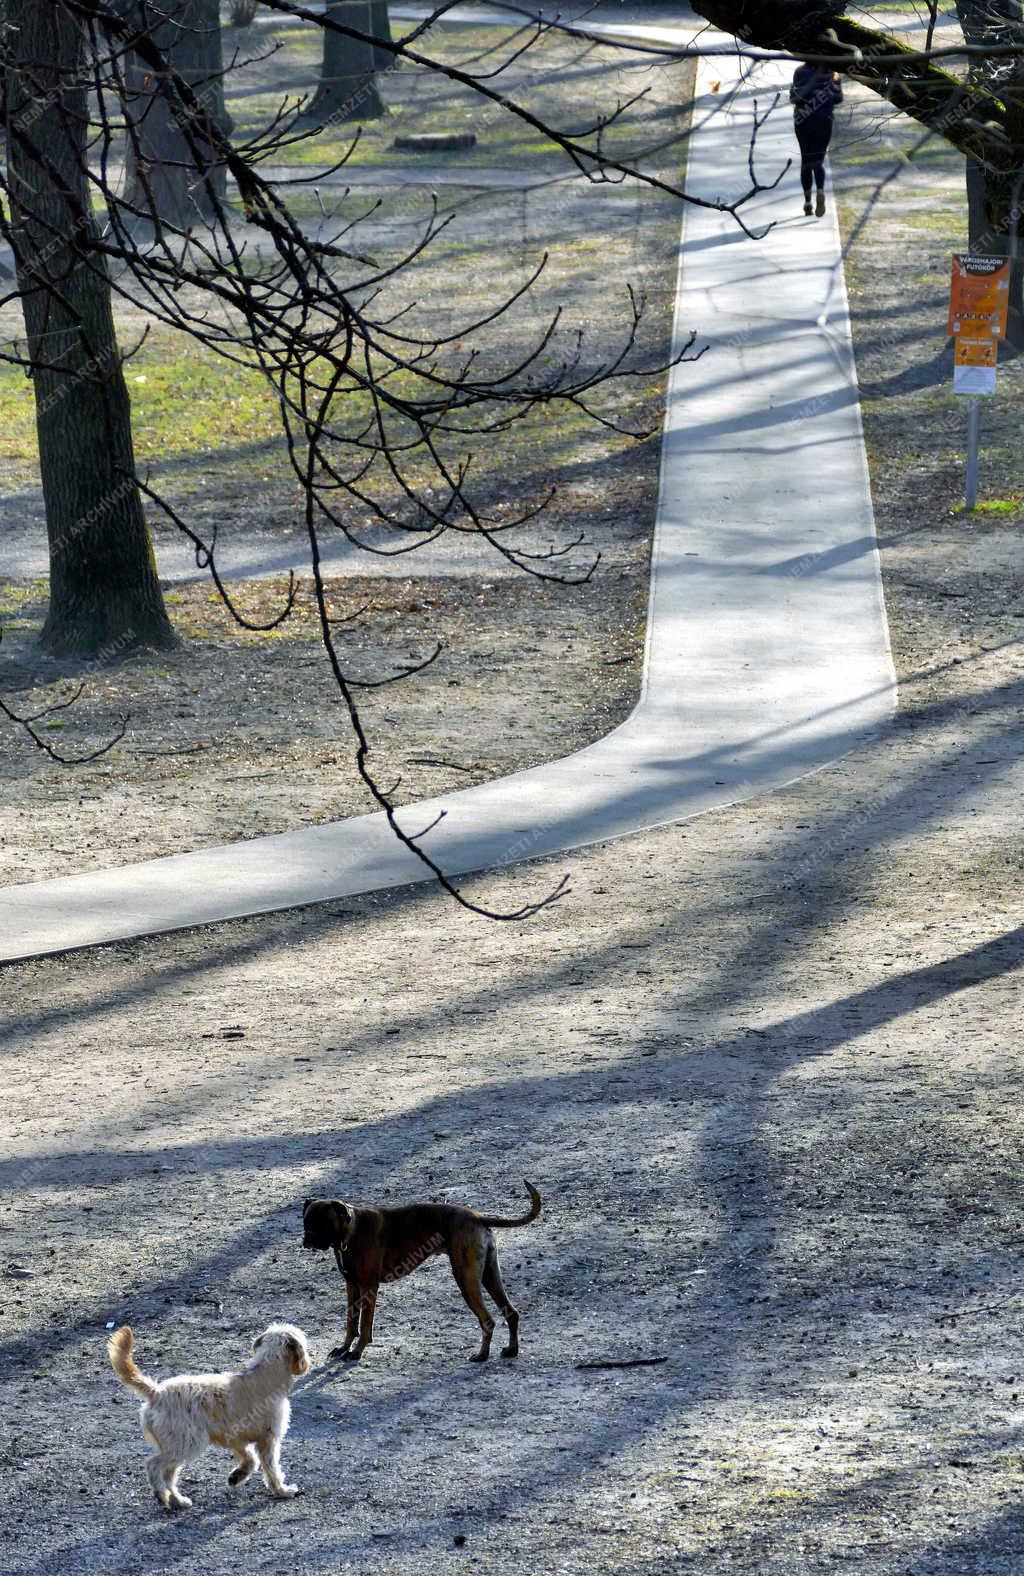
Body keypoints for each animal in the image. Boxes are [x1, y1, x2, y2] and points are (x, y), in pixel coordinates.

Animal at [106, 1317, 310, 1512]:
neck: (266, 1370)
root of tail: (156, 1392)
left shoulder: (235, 1437)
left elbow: (250, 1459)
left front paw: (237, 1476)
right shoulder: (268, 1439)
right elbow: (271, 1468)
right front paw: (282, 1490)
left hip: (177, 1445)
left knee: (168, 1474)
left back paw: (178, 1500)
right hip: (187, 1443)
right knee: (154, 1465)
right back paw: (161, 1495)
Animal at [300, 1185, 541, 1367]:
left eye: (323, 1222)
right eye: (306, 1221)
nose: (307, 1238)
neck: (351, 1231)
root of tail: (478, 1217)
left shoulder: (368, 1287)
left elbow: (365, 1324)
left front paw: (357, 1351)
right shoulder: (352, 1286)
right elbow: (351, 1321)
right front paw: (344, 1347)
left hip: (466, 1279)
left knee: (488, 1320)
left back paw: (482, 1355)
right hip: (489, 1276)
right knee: (511, 1312)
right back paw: (512, 1350)